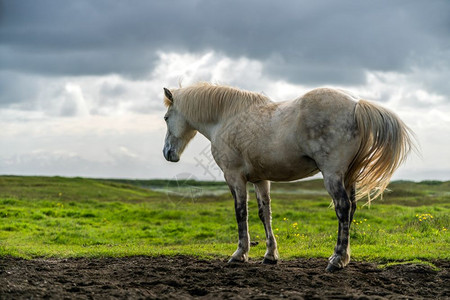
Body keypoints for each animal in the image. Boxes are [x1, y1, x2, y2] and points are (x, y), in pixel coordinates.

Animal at [163, 82, 414, 272]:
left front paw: (239, 254)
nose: (168, 153)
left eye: (166, 117)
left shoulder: (234, 177)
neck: (226, 118)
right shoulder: (260, 180)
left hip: (333, 175)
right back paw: (343, 257)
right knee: (351, 209)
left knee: (343, 208)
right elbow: (265, 214)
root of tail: (356, 104)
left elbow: (241, 212)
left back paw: (337, 260)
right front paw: (270, 255)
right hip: (348, 176)